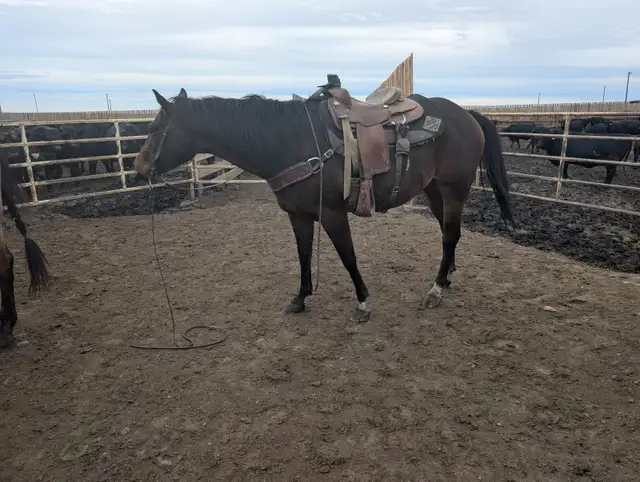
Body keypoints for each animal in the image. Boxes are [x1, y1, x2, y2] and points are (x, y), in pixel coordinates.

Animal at [132, 79, 515, 323]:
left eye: (154, 129)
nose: (139, 167)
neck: (291, 141)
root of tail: (468, 115)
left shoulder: (331, 213)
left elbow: (348, 257)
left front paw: (363, 302)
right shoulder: (298, 215)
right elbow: (303, 255)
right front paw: (300, 298)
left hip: (454, 188)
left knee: (450, 234)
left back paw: (435, 290)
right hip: (434, 190)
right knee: (450, 234)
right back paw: (446, 278)